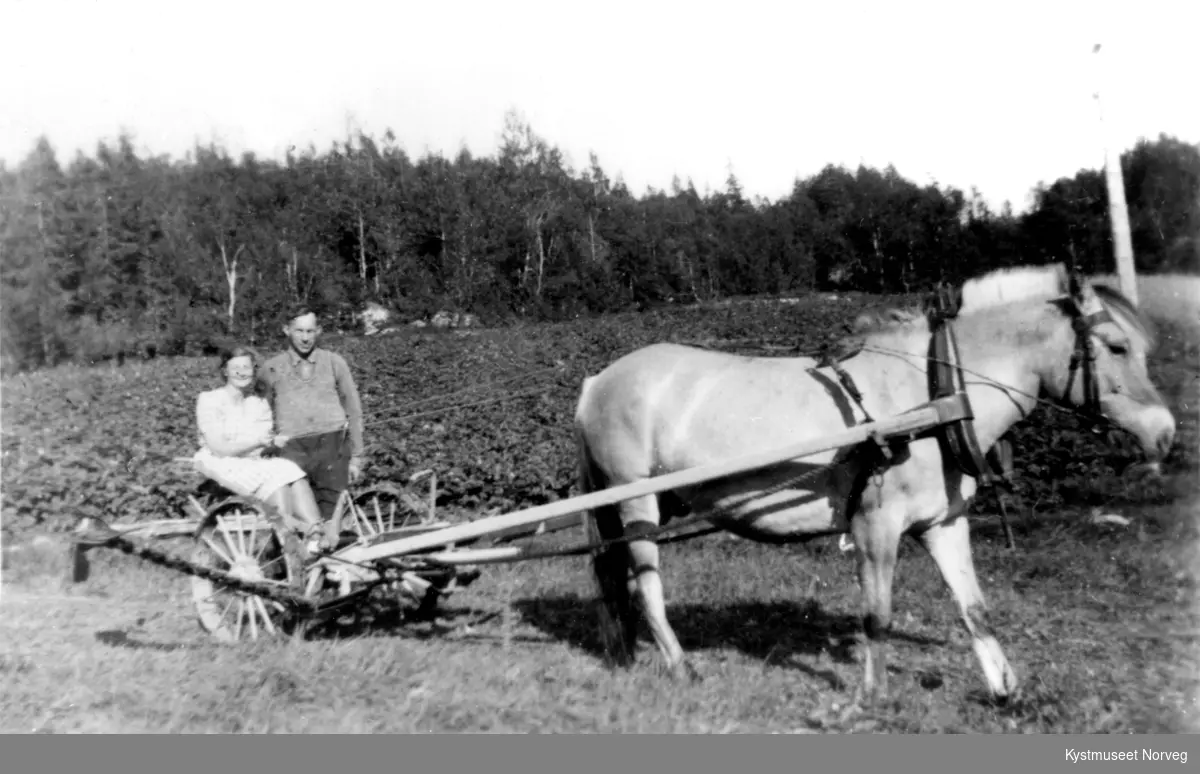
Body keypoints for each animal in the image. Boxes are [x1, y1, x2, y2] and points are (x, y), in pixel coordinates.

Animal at [571, 262, 1171, 705]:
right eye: (1116, 346)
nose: (1164, 434)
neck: (933, 395)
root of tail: (597, 380)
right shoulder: (874, 524)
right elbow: (877, 615)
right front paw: (873, 694)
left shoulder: (944, 523)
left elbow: (975, 608)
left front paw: (1005, 689)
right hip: (636, 500)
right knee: (645, 585)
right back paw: (679, 665)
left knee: (613, 576)